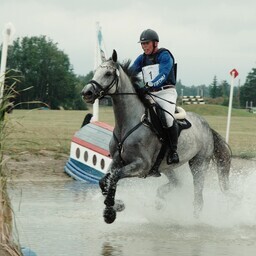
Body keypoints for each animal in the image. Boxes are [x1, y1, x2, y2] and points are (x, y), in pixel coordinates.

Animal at [81, 50, 231, 224]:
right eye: (95, 72)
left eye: (108, 73)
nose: (86, 93)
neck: (128, 122)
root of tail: (207, 126)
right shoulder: (118, 160)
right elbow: (105, 180)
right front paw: (116, 205)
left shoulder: (141, 165)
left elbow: (114, 178)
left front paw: (110, 212)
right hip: (167, 167)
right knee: (177, 184)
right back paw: (160, 201)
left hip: (199, 164)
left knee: (198, 196)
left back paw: (194, 219)